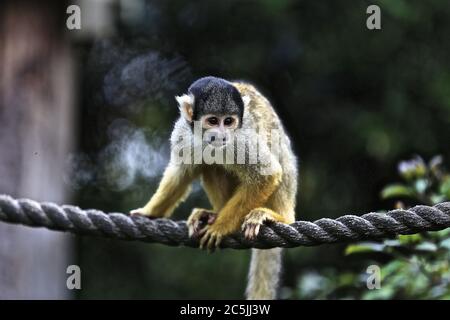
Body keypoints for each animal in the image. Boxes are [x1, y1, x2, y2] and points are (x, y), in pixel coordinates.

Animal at [131, 76, 298, 298]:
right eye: (212, 121)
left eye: (228, 121)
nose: (221, 135)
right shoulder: (183, 132)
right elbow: (180, 173)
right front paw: (149, 211)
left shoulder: (241, 139)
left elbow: (267, 173)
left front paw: (220, 227)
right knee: (210, 166)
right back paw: (213, 213)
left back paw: (278, 217)